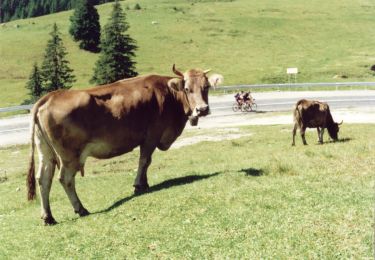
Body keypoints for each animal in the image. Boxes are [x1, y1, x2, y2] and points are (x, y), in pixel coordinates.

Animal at [27, 65, 225, 225]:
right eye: (187, 88)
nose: (202, 109)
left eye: (206, 87)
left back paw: (48, 217)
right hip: (69, 156)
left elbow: (147, 162)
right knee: (65, 179)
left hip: (46, 153)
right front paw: (139, 185)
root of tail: (50, 96)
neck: (169, 96)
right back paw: (81, 209)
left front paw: (145, 183)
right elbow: (144, 160)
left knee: (43, 179)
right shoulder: (151, 135)